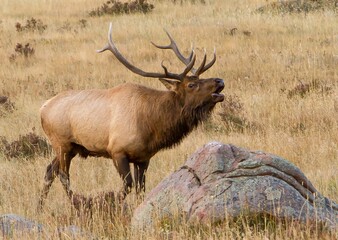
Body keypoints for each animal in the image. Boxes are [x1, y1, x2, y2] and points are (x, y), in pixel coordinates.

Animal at [37, 22, 224, 210]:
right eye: (191, 85)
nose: (219, 81)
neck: (151, 125)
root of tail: (42, 109)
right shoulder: (117, 151)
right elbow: (127, 185)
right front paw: (111, 205)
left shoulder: (143, 158)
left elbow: (141, 188)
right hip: (62, 143)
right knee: (63, 175)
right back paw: (76, 203)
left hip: (72, 147)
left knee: (49, 171)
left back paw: (39, 207)